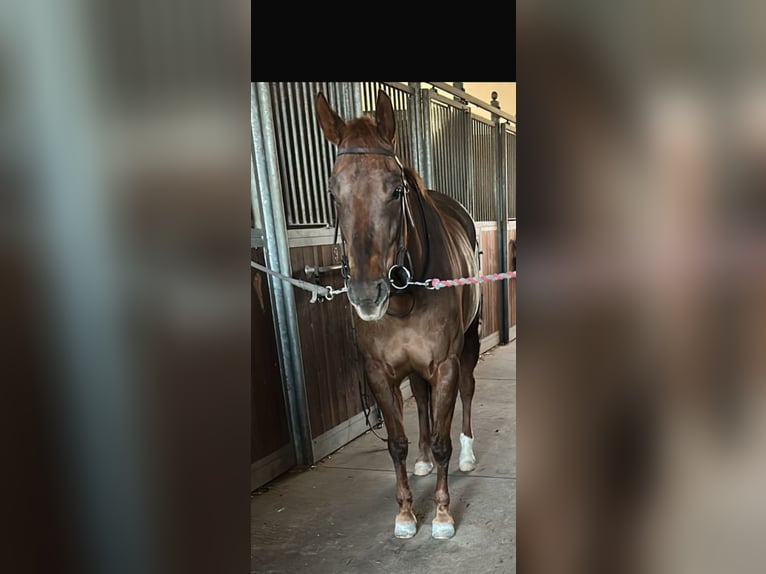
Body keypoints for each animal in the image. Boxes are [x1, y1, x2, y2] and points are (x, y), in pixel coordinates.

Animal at [315, 89, 482, 539]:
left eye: (395, 190)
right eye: (334, 193)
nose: (366, 294)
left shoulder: (444, 364)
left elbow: (443, 437)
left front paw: (441, 515)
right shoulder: (378, 370)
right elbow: (396, 443)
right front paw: (406, 513)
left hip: (470, 342)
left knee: (466, 392)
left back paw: (467, 454)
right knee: (421, 402)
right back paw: (422, 460)